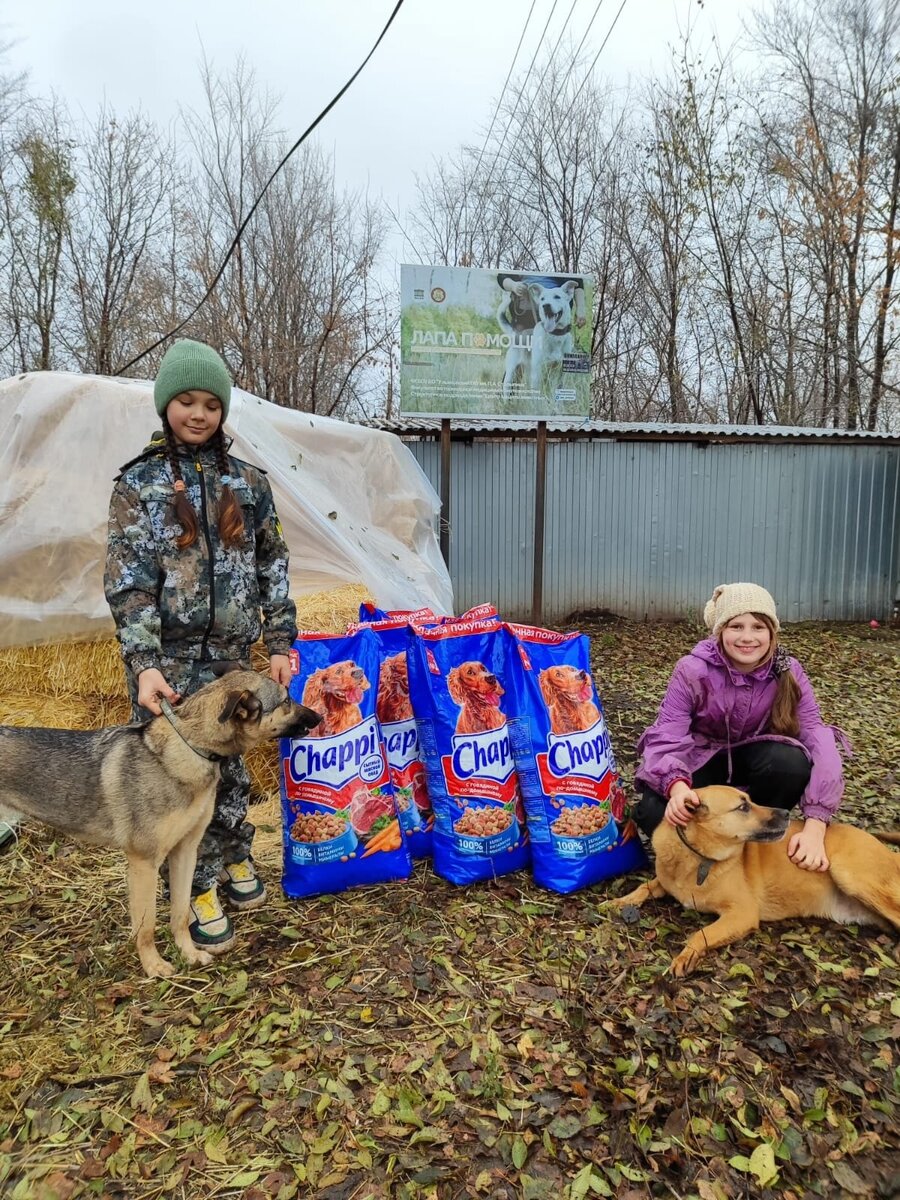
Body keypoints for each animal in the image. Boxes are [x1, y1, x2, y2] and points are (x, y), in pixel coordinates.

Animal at [0, 672, 321, 979]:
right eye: (286, 700)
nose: (319, 716)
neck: (190, 747)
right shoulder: (144, 863)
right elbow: (146, 926)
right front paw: (153, 966)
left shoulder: (186, 852)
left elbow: (179, 913)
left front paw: (188, 954)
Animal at [614, 787, 900, 974]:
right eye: (743, 807)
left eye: (749, 801)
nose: (786, 813)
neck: (698, 857)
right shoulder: (664, 882)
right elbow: (644, 887)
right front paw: (619, 901)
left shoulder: (742, 914)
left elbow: (701, 933)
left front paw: (687, 954)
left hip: (850, 875)